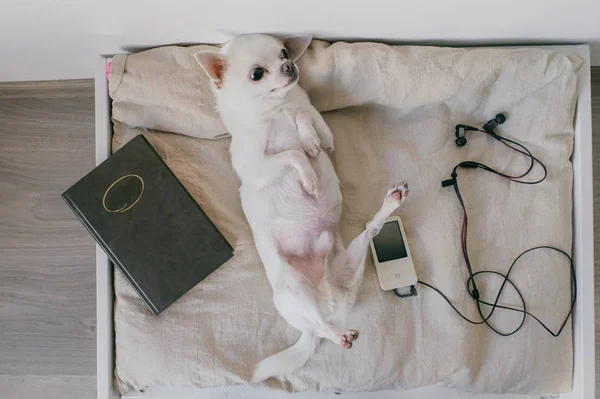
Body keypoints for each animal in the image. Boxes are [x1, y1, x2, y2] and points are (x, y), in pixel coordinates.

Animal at [196, 35, 408, 384]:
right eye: (257, 74)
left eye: (283, 53)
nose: (289, 66)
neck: (277, 110)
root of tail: (329, 303)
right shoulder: (257, 168)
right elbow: (292, 154)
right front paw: (308, 177)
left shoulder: (326, 134)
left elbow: (305, 120)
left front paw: (308, 140)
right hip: (292, 292)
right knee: (321, 330)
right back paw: (339, 336)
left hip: (350, 263)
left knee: (371, 230)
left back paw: (391, 202)